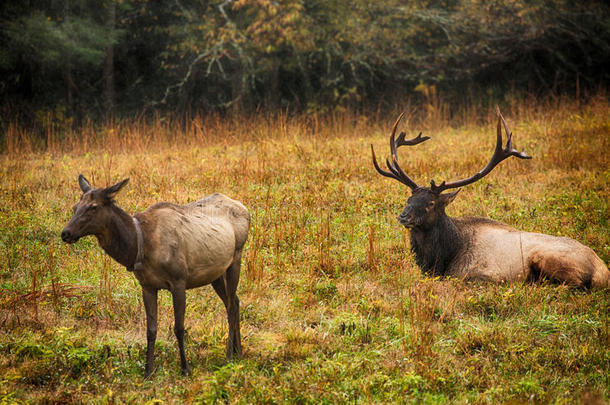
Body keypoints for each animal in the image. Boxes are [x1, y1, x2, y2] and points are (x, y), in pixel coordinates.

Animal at [57, 175, 247, 374]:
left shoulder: (179, 281)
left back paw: (229, 355)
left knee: (231, 306)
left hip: (236, 258)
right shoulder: (147, 286)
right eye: (75, 207)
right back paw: (238, 352)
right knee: (234, 301)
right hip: (216, 273)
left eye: (93, 207)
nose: (66, 233)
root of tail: (244, 207)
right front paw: (149, 370)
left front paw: (185, 368)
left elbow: (179, 328)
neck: (140, 246)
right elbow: (151, 329)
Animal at [368, 108, 604, 288]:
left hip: (550, 258)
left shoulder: (487, 274)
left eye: (431, 203)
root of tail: (602, 271)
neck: (442, 257)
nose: (404, 216)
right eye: (409, 200)